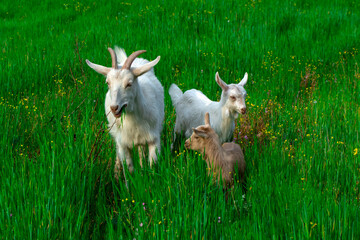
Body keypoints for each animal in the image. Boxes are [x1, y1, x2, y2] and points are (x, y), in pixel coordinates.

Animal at [85, 47, 164, 178]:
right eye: (108, 83)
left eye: (129, 83)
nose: (114, 108)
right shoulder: (124, 143)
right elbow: (129, 169)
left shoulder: (154, 139)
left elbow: (153, 165)